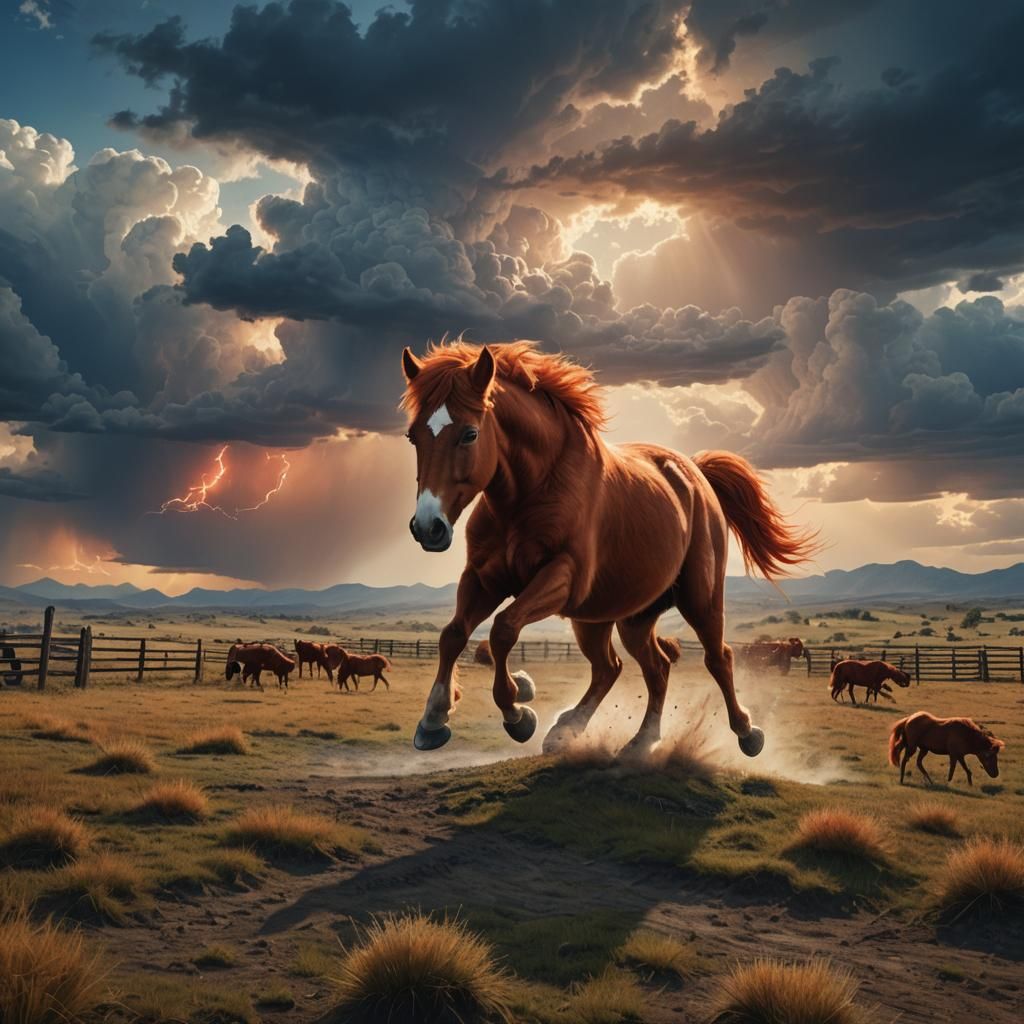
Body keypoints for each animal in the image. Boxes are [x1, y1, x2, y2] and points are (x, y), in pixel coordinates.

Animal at [401, 340, 817, 755]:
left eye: (470, 434)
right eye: (412, 436)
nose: (428, 528)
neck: (533, 491)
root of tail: (696, 473)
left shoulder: (562, 576)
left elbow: (502, 630)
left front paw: (518, 715)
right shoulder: (483, 579)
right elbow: (453, 634)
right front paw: (434, 720)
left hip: (699, 599)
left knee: (717, 658)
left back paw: (747, 733)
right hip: (618, 617)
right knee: (636, 667)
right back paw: (618, 738)